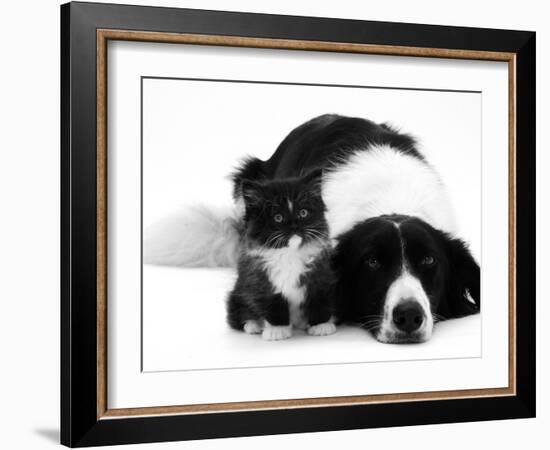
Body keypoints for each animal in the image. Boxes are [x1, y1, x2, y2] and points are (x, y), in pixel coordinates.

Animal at [226, 170, 338, 342]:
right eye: (278, 218)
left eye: (303, 213)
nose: (294, 226)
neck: (289, 253)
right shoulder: (260, 279)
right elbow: (273, 303)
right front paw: (277, 330)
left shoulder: (320, 274)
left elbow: (319, 299)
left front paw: (321, 325)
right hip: (237, 293)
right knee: (238, 315)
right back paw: (254, 325)